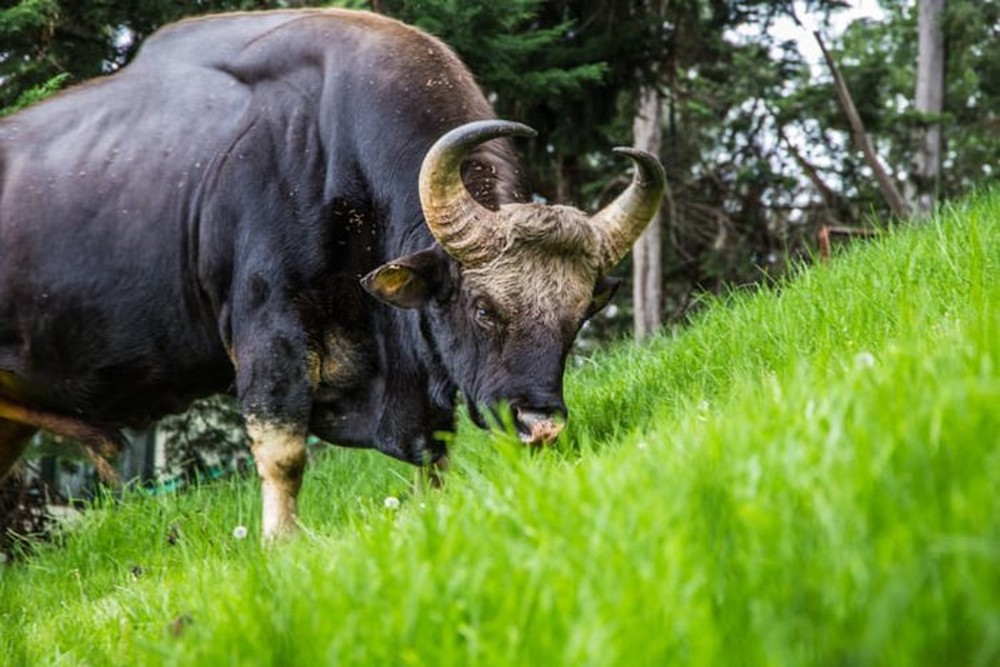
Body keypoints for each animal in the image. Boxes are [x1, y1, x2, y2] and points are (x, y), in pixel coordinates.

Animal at [0, 9, 664, 536]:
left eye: (578, 317)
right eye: (483, 307)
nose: (540, 425)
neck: (321, 145)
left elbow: (437, 449)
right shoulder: (268, 330)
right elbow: (283, 451)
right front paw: (281, 543)